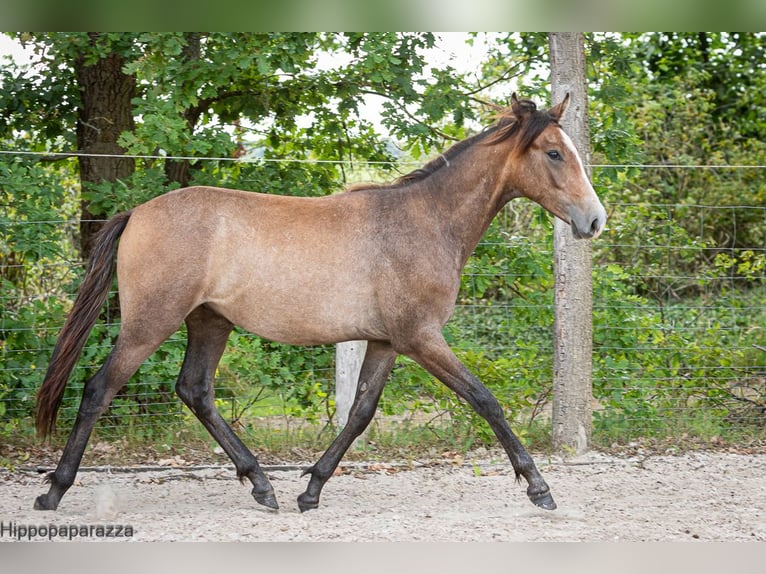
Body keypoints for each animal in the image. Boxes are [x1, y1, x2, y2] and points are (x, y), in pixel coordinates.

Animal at [34, 93, 608, 512]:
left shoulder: (386, 341)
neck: (424, 221)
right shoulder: (421, 337)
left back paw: (262, 485)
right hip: (150, 323)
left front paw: (310, 490)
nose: (594, 220)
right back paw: (54, 491)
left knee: (195, 390)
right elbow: (485, 400)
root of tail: (136, 213)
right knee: (99, 389)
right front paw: (538, 487)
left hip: (209, 322)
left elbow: (359, 413)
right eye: (554, 152)